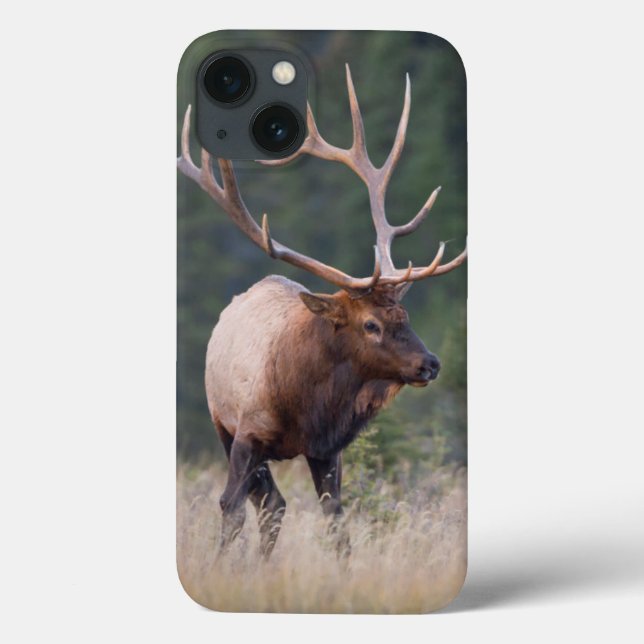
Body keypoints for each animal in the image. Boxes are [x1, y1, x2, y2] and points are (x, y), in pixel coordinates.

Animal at [177, 65, 467, 559]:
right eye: (370, 324)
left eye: (405, 318)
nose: (430, 364)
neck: (306, 405)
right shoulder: (246, 433)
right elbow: (229, 508)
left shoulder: (328, 449)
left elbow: (337, 523)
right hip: (222, 425)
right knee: (265, 504)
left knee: (274, 505)